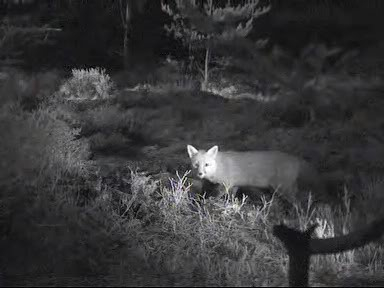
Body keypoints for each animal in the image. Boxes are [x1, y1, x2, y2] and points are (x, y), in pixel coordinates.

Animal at [186, 145, 324, 206]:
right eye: (196, 164)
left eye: (207, 164)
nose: (200, 174)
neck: (219, 166)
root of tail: (294, 159)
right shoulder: (235, 185)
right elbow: (231, 197)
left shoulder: (227, 184)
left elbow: (217, 195)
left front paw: (209, 201)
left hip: (283, 189)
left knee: (297, 202)